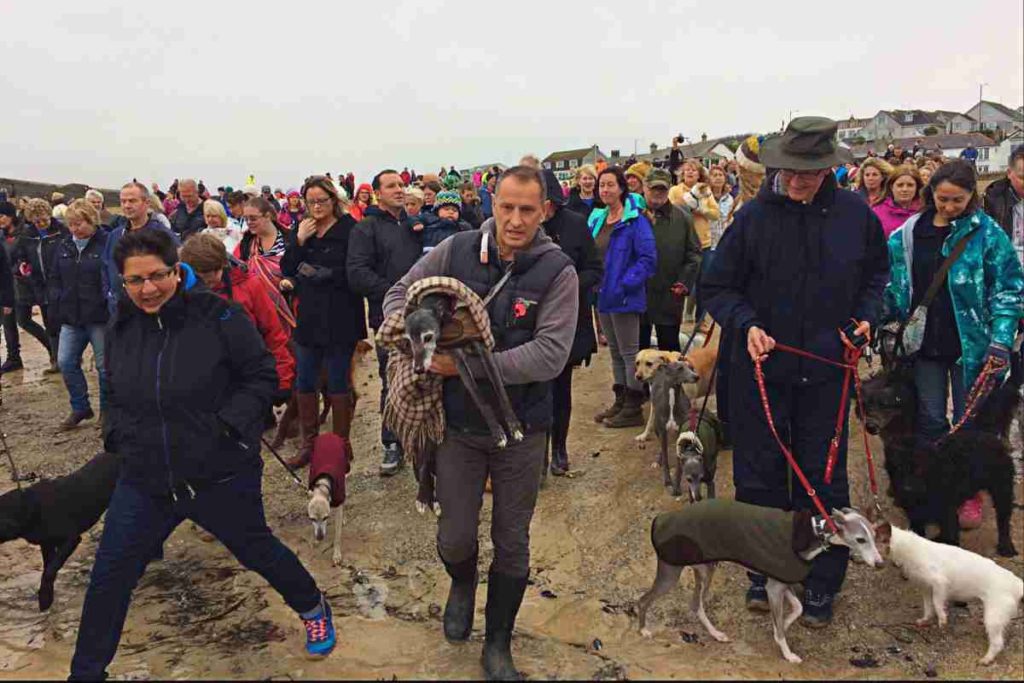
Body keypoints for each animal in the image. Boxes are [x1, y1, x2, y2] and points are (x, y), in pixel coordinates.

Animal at [0, 454, 120, 610]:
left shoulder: (72, 539)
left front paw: (44, 598)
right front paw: (46, 595)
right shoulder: (47, 544)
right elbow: (48, 567)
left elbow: (50, 569)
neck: (30, 506)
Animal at [860, 366, 1019, 557]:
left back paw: (1006, 545)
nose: (906, 489)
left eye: (921, 468)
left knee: (1003, 518)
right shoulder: (915, 515)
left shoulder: (947, 513)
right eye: (898, 468)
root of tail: (986, 433)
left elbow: (950, 538)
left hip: (1002, 487)